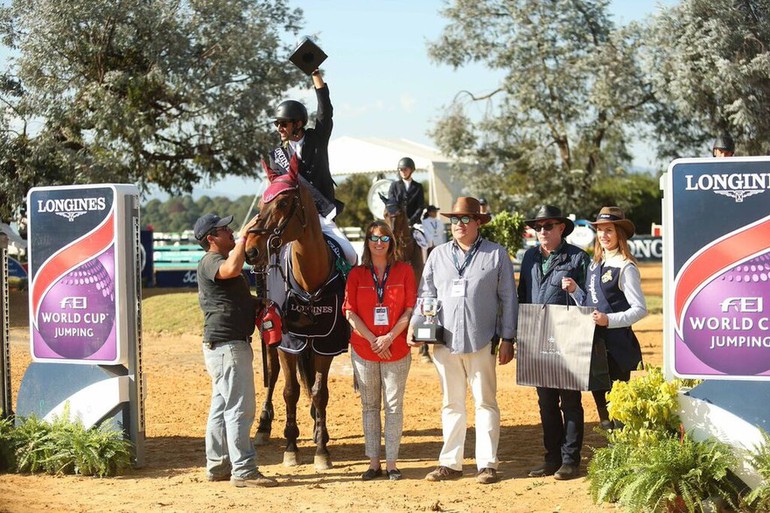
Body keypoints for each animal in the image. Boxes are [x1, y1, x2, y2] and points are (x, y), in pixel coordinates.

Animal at [243, 156, 348, 468]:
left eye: (282, 203)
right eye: (261, 204)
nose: (250, 250)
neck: (309, 280)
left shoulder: (326, 342)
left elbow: (319, 391)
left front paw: (322, 449)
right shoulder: (288, 342)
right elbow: (290, 391)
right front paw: (290, 447)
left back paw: (315, 425)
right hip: (273, 338)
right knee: (274, 375)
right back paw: (264, 426)